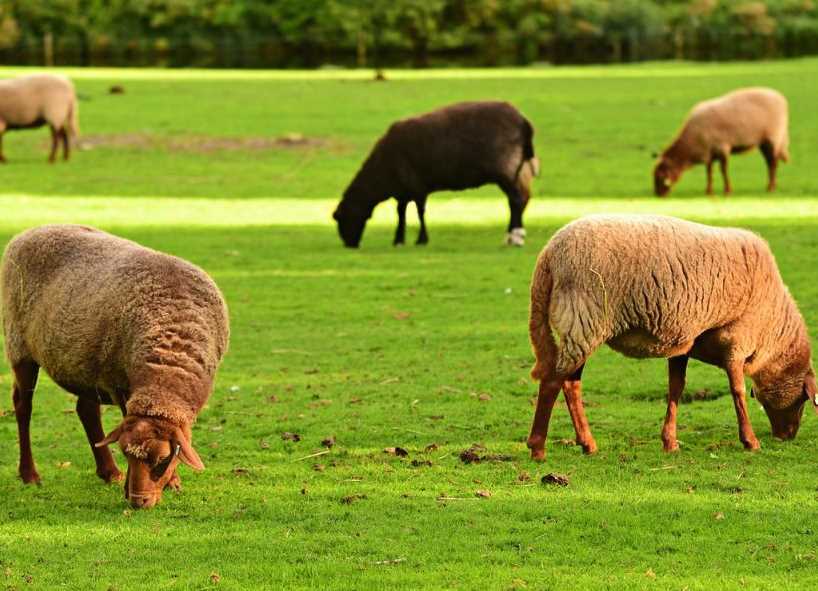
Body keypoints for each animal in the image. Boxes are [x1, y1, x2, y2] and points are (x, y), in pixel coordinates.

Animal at [2, 224, 230, 512]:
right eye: (126, 452)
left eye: (161, 459)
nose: (138, 502)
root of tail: (28, 232)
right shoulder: (120, 384)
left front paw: (172, 482)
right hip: (19, 345)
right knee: (23, 406)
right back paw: (30, 474)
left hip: (86, 364)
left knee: (86, 410)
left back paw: (108, 472)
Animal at [330, 100, 536, 249]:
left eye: (342, 219)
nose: (350, 245)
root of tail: (523, 121)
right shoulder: (403, 191)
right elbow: (401, 213)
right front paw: (399, 240)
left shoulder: (417, 186)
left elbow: (419, 212)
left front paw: (421, 239)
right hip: (519, 168)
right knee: (520, 199)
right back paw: (513, 235)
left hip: (507, 168)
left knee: (516, 200)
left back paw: (516, 237)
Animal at [524, 216, 812, 462]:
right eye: (803, 400)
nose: (788, 436)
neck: (772, 327)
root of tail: (548, 256)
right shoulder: (737, 341)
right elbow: (738, 391)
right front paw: (750, 441)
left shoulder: (684, 342)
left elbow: (676, 387)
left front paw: (670, 442)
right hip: (582, 319)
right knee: (552, 382)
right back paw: (538, 448)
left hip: (581, 327)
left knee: (570, 384)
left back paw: (588, 444)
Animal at [652, 86, 784, 197]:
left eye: (660, 176)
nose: (658, 195)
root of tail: (779, 97)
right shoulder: (709, 153)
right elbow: (709, 172)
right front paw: (708, 191)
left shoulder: (722, 148)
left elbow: (723, 170)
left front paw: (727, 190)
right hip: (763, 142)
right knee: (769, 162)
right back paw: (772, 185)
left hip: (773, 138)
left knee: (773, 163)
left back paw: (771, 188)